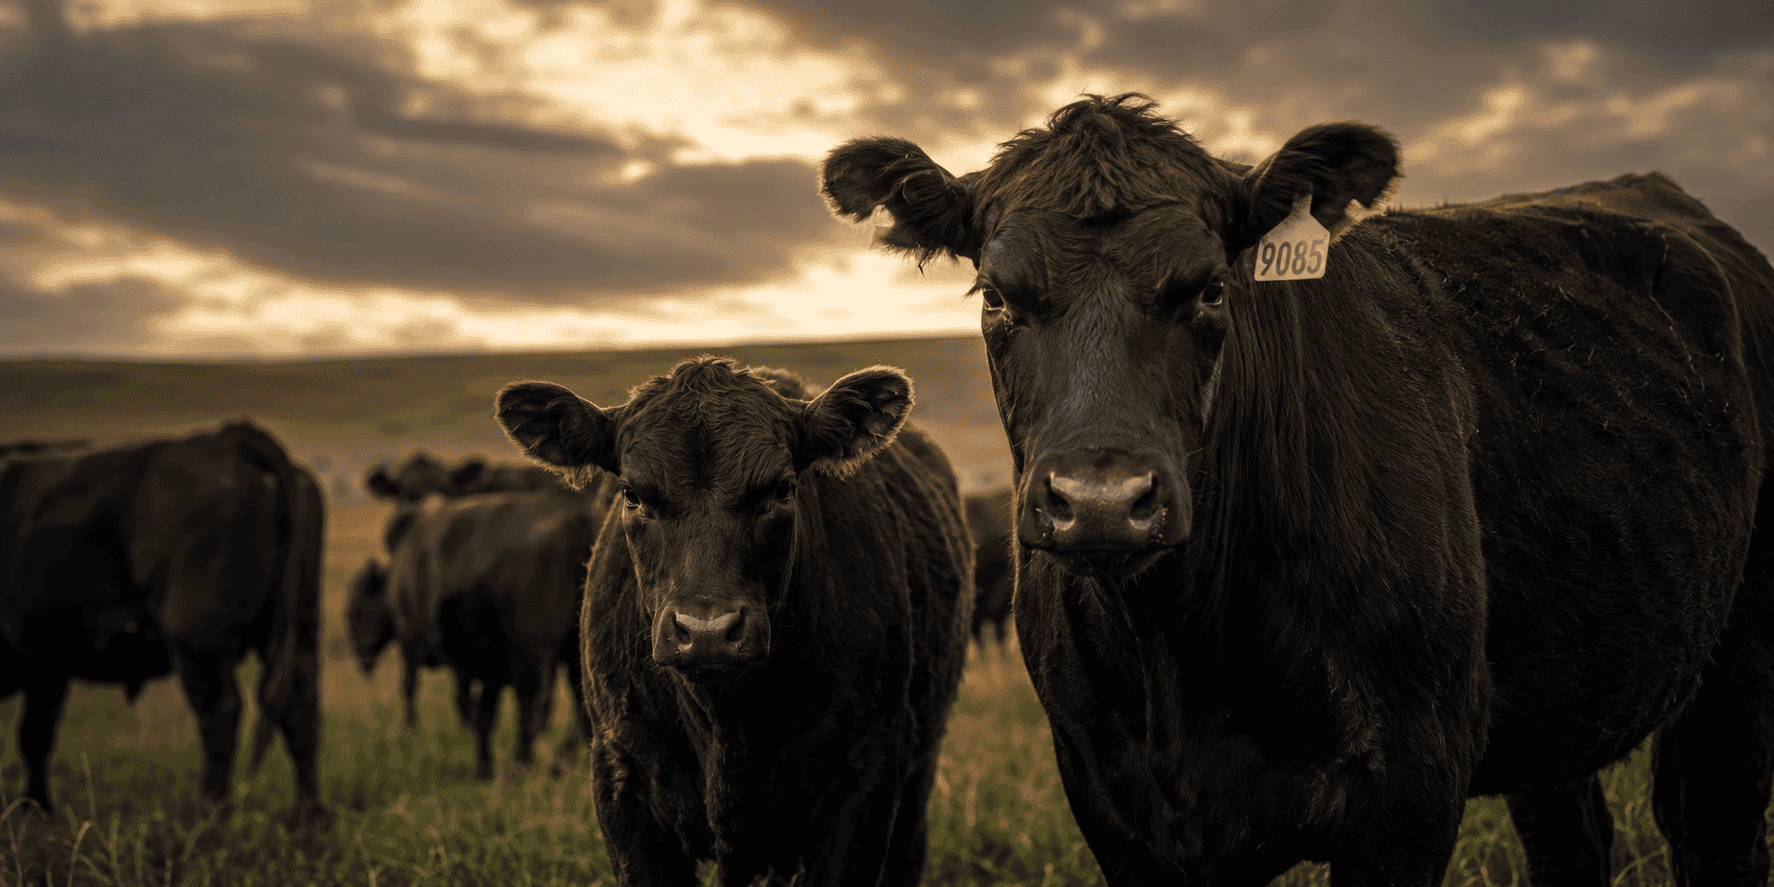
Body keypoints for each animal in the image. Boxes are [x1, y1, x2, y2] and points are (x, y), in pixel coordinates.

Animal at [0, 421, 324, 817]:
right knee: (300, 708)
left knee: (221, 711)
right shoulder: (47, 664)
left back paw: (210, 811)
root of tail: (229, 438)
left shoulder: (42, 664)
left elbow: (32, 737)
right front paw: (38, 809)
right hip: (299, 628)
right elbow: (37, 735)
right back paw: (309, 815)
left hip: (197, 642)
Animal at [346, 488, 605, 780]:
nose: (361, 654)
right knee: (580, 706)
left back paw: (521, 765)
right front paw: (482, 766)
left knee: (532, 701)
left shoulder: (415, 645)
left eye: (355, 610)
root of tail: (580, 520)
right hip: (573, 653)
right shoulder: (489, 665)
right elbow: (482, 712)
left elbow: (419, 689)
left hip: (534, 654)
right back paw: (565, 764)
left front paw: (409, 729)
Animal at [494, 356, 974, 886]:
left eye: (782, 489)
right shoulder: (622, 772)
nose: (707, 632)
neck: (727, 723)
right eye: (632, 494)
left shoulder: (867, 768)